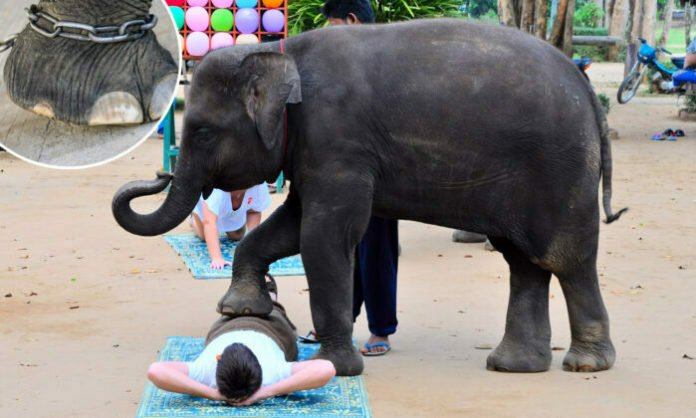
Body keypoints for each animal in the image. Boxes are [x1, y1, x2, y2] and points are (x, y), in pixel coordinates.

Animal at [113, 19, 624, 378]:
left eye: (202, 131)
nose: (158, 174)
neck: (282, 54)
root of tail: (587, 91)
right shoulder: (316, 150)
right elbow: (290, 226)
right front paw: (242, 309)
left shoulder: (338, 140)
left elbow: (323, 235)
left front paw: (334, 368)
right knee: (524, 263)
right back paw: (514, 365)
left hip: (560, 170)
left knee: (566, 259)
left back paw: (585, 364)